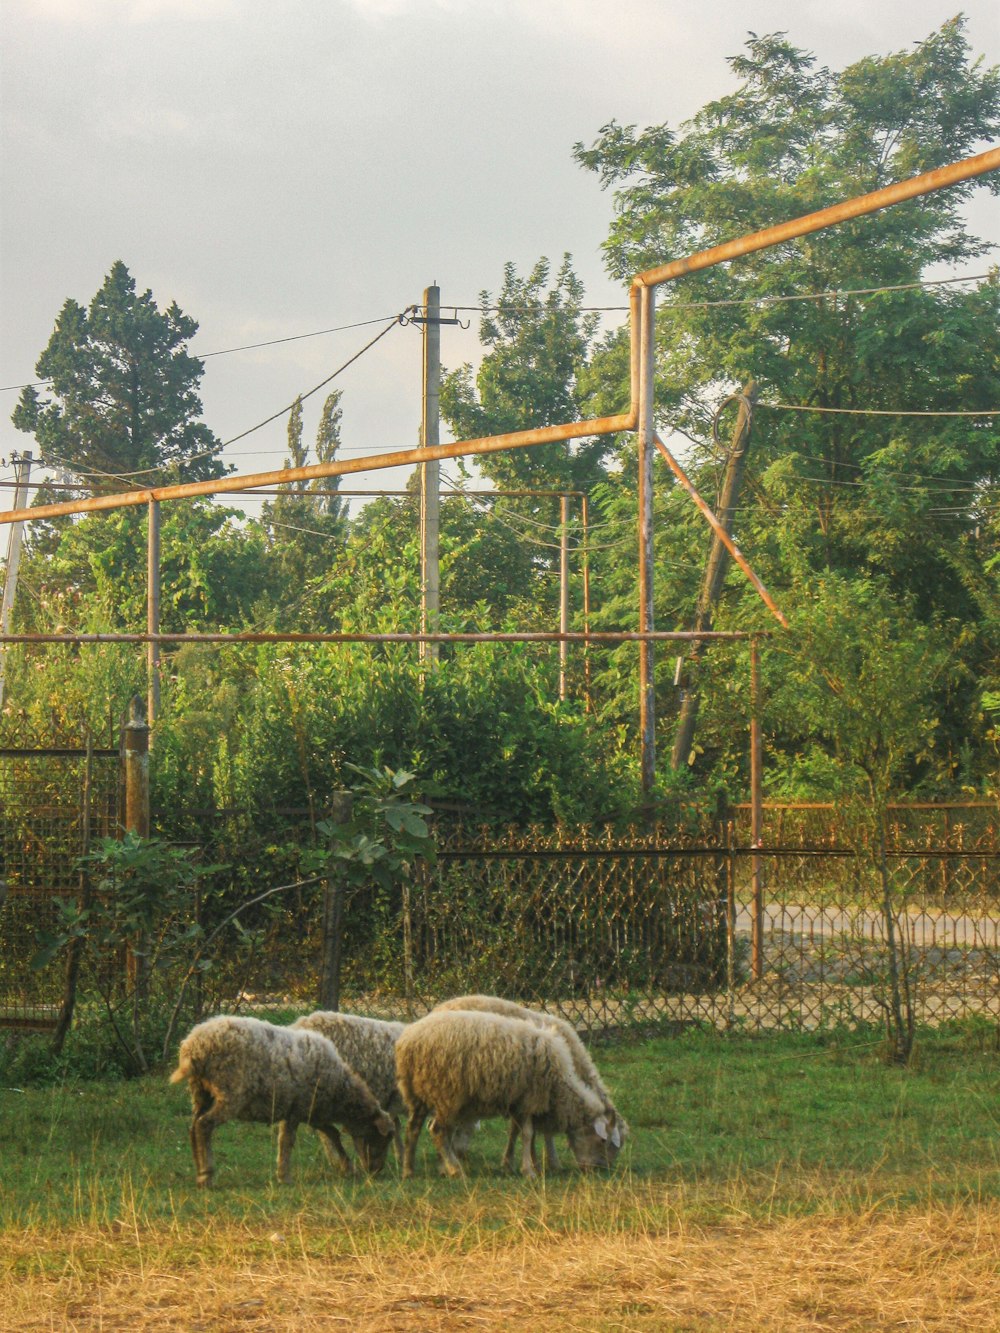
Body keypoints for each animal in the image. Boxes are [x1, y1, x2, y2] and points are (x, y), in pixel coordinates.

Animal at [170, 1013, 394, 1183]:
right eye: (381, 1138)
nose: (375, 1171)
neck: (340, 1089)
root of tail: (193, 1046)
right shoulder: (297, 1110)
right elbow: (288, 1141)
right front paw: (284, 1176)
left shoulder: (310, 1111)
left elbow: (332, 1134)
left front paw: (347, 1167)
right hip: (230, 1094)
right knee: (204, 1126)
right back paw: (205, 1175)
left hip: (200, 1093)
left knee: (193, 1127)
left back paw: (199, 1167)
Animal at [394, 1007, 624, 1178]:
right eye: (603, 1141)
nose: (599, 1170)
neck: (560, 1084)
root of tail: (408, 1041)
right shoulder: (529, 1099)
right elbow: (528, 1134)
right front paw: (530, 1170)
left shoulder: (517, 1100)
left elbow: (518, 1133)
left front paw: (516, 1164)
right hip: (446, 1095)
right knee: (438, 1131)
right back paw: (454, 1169)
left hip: (417, 1094)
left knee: (413, 1129)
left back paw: (409, 1171)